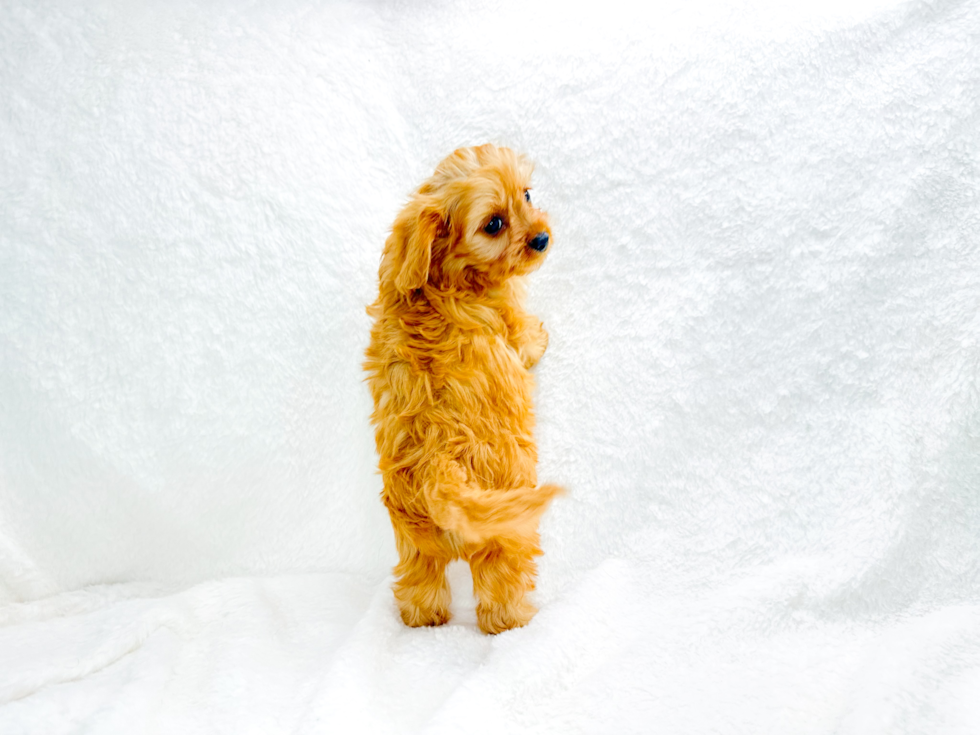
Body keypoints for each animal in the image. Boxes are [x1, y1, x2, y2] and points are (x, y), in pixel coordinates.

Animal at [364, 145, 564, 640]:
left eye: (527, 194)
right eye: (493, 223)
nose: (542, 238)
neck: (443, 271)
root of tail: (442, 468)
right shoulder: (507, 317)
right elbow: (524, 336)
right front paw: (540, 338)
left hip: (413, 537)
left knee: (420, 583)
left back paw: (423, 619)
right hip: (506, 525)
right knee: (499, 591)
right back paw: (516, 623)